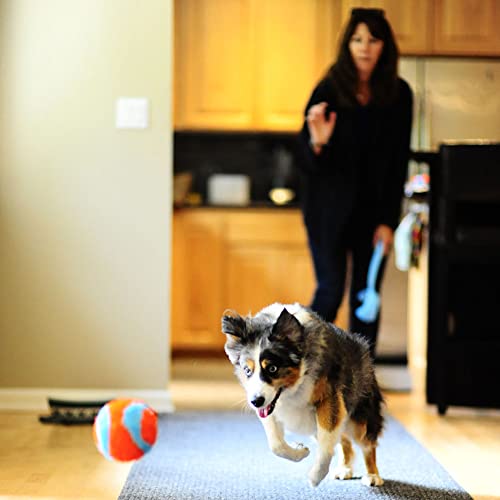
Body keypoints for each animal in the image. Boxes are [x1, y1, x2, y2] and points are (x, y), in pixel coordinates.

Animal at [222, 302, 382, 486]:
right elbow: (276, 444)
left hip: (359, 419)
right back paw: (344, 468)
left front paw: (315, 476)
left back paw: (373, 475)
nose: (255, 401)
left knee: (367, 445)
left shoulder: (329, 399)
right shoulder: (269, 407)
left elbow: (327, 443)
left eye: (272, 368)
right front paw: (301, 451)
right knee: (344, 441)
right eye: (247, 370)